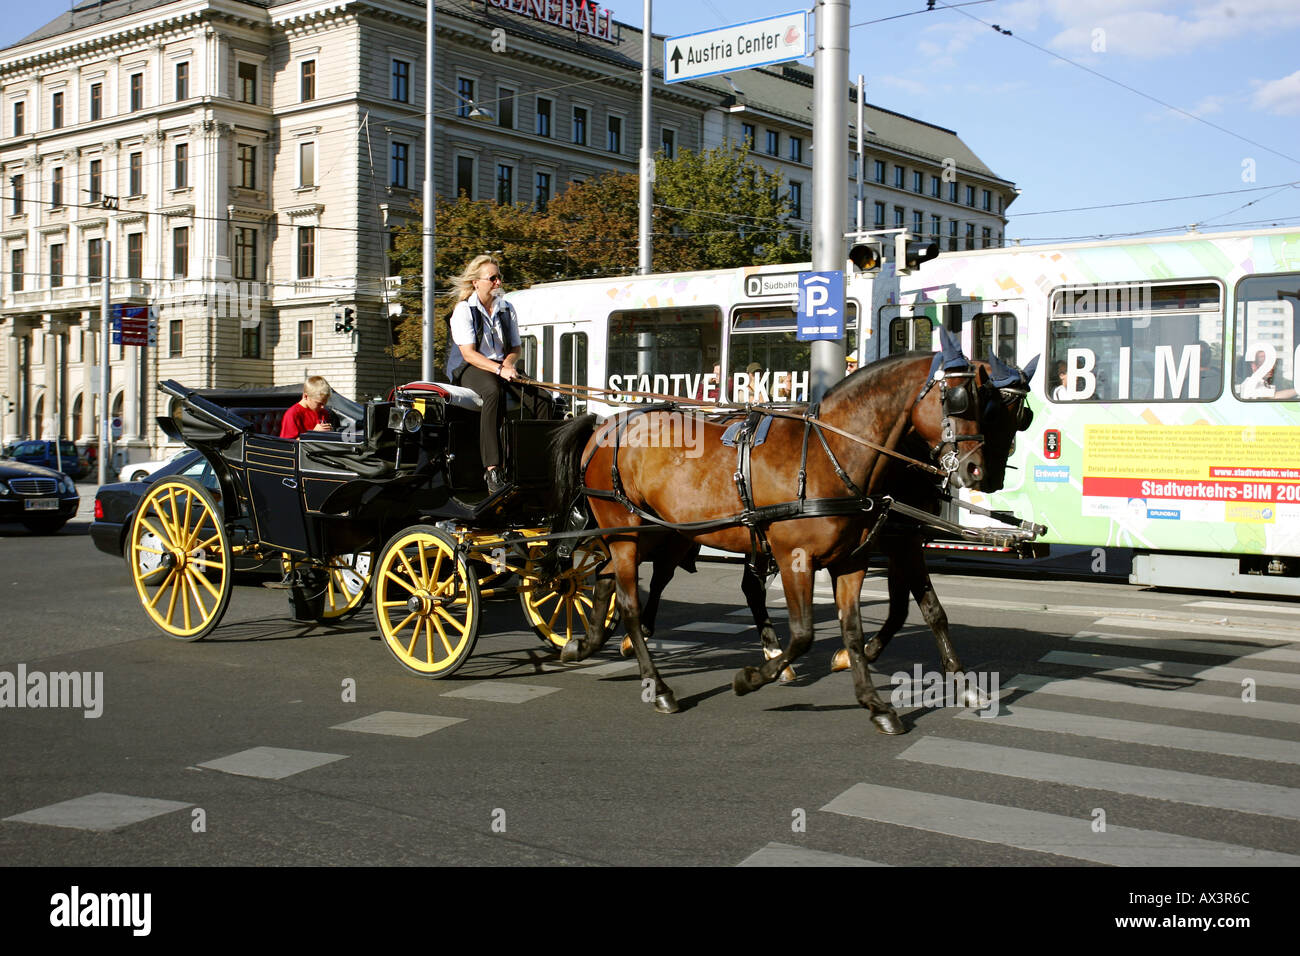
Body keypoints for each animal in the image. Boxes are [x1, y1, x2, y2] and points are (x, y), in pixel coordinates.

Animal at [551, 343, 993, 733]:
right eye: (957, 399)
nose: (975, 470)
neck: (831, 452)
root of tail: (604, 425)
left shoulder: (851, 561)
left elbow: (852, 630)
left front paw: (875, 705)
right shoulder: (795, 557)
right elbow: (802, 634)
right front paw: (750, 678)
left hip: (652, 534)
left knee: (605, 579)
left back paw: (584, 645)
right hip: (626, 531)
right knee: (628, 603)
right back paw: (656, 686)